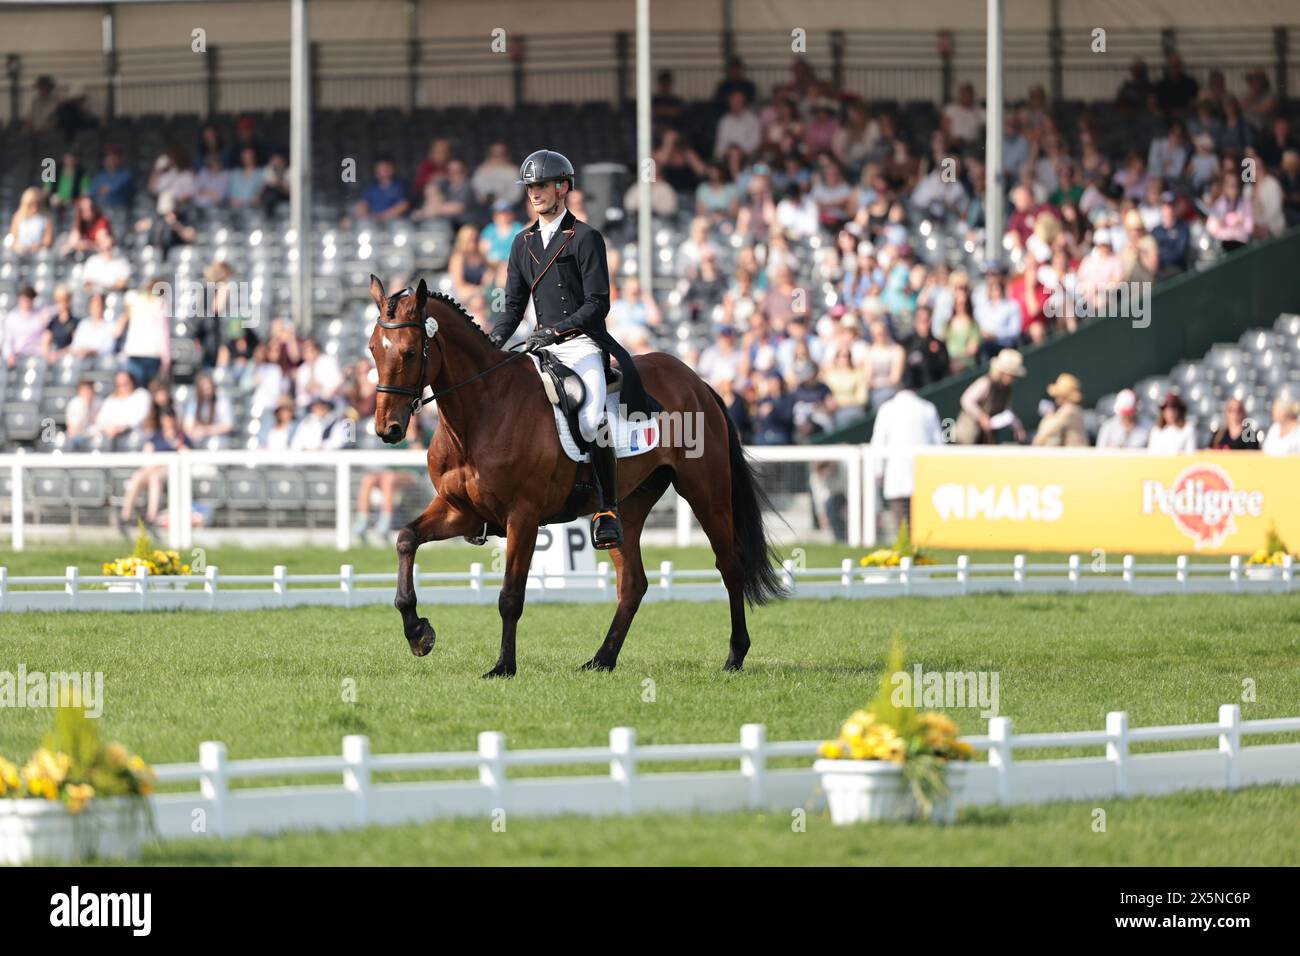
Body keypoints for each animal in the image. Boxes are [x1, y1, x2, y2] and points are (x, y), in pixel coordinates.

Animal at [371, 274, 785, 681]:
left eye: (410, 352)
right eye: (374, 350)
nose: (387, 429)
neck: (481, 411)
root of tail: (697, 382)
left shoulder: (523, 516)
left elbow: (510, 595)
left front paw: (503, 666)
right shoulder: (460, 511)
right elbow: (406, 540)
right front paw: (418, 633)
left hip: (706, 493)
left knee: (730, 566)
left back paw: (735, 656)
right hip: (626, 507)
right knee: (632, 583)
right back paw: (602, 659)